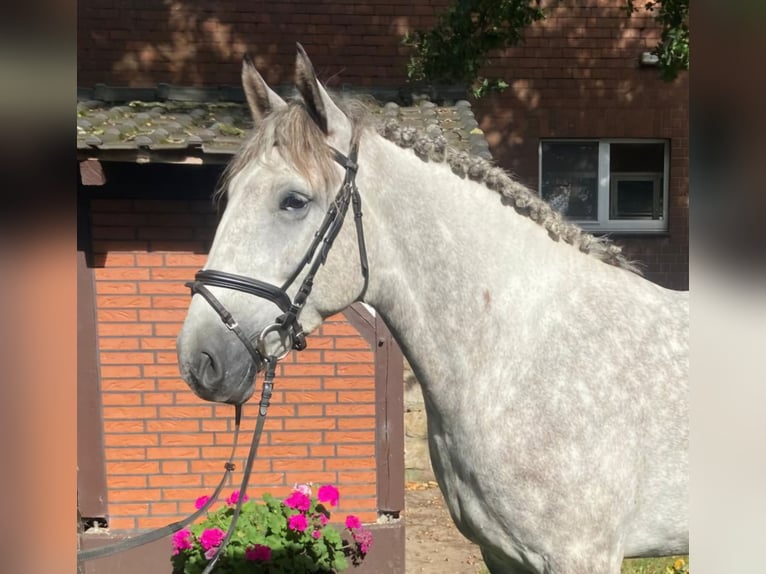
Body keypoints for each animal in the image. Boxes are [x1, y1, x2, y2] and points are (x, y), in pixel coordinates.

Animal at [178, 46, 688, 574]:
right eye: (229, 195)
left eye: (294, 201)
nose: (200, 359)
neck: (520, 353)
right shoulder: (500, 554)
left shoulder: (580, 555)